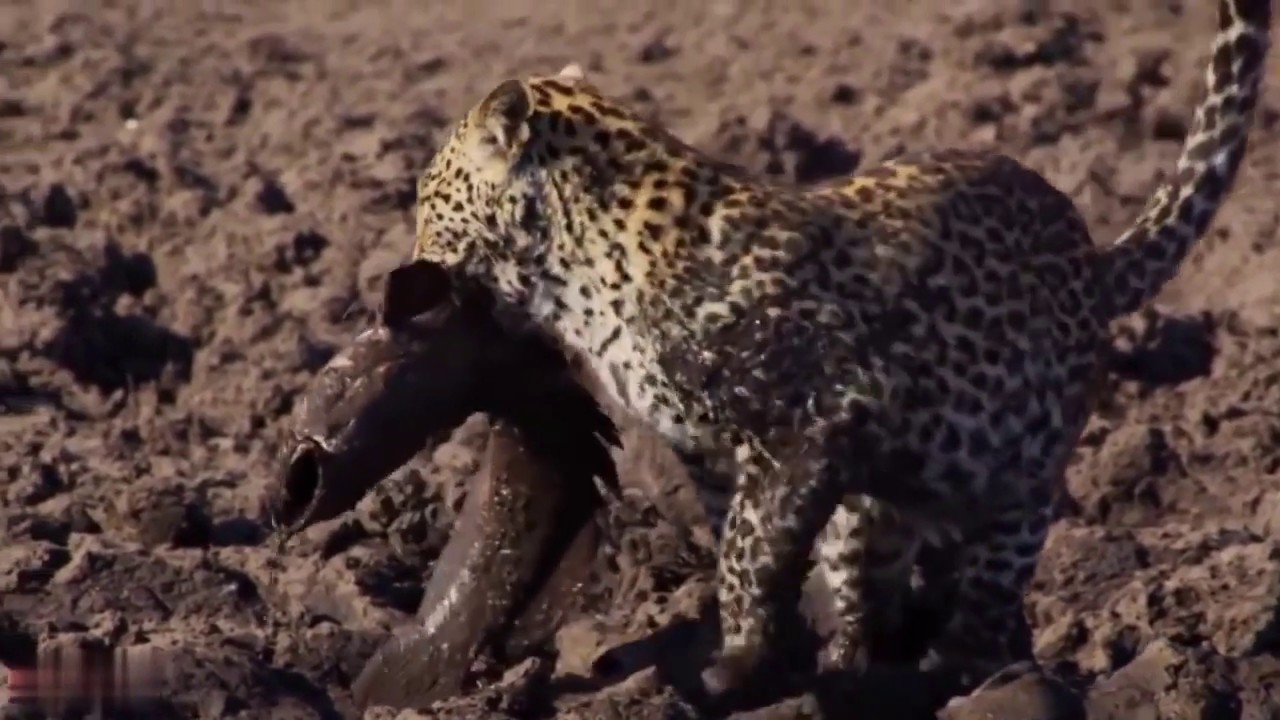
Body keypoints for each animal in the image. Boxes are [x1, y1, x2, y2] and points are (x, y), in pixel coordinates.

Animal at [407, 0, 1272, 708]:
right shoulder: (712, 453)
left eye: (426, 197)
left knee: (993, 592)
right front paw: (767, 657)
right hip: (883, 502)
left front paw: (736, 663)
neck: (581, 277)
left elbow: (749, 549)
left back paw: (971, 675)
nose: (406, 262)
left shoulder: (811, 423)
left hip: (1019, 479)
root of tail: (1094, 260)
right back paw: (862, 665)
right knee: (882, 571)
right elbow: (736, 541)